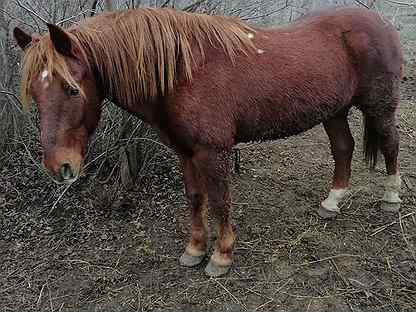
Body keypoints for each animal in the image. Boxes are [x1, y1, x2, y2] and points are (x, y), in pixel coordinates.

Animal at [13, 6, 404, 276]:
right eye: (35, 93)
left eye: (72, 89)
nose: (60, 166)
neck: (182, 72)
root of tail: (382, 23)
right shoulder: (185, 152)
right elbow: (195, 199)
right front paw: (195, 249)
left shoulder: (213, 152)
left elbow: (219, 201)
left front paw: (221, 255)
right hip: (333, 110)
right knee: (343, 148)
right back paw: (332, 202)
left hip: (380, 106)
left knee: (390, 145)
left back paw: (390, 198)